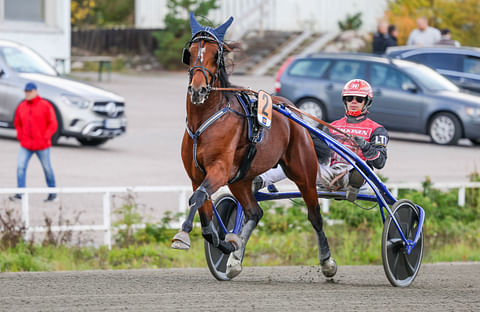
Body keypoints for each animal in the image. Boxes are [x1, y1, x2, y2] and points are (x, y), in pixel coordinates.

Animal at [172, 12, 338, 278]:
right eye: (193, 51)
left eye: (215, 54)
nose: (198, 90)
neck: (203, 123)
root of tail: (291, 109)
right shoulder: (197, 175)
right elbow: (205, 216)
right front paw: (229, 244)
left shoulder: (219, 170)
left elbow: (197, 198)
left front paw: (183, 234)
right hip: (241, 178)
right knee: (254, 212)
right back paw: (235, 258)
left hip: (302, 172)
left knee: (315, 215)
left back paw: (327, 262)